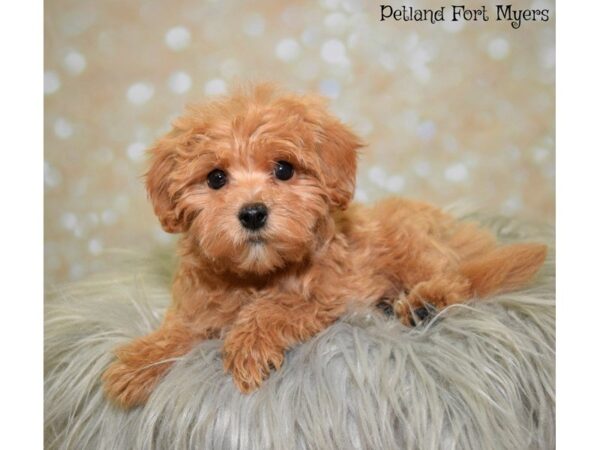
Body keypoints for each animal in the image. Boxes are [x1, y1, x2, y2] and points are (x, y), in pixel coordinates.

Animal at [103, 84, 548, 408]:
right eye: (215, 178)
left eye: (284, 169)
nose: (252, 213)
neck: (257, 274)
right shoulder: (198, 309)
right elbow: (177, 332)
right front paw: (137, 363)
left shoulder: (332, 294)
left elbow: (278, 308)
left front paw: (246, 347)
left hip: (409, 241)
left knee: (456, 280)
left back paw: (425, 303)